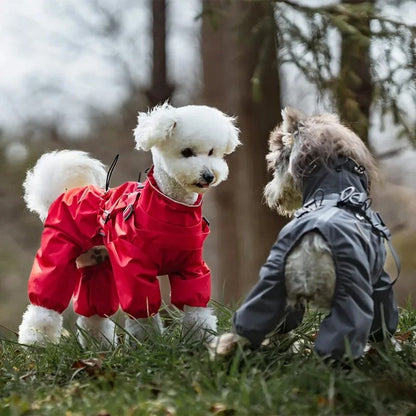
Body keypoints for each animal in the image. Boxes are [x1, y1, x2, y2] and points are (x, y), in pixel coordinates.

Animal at [18, 102, 240, 346]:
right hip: (57, 252)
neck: (171, 207)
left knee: (93, 312)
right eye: (187, 152)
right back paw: (36, 344)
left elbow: (196, 309)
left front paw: (201, 341)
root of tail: (61, 196)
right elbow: (142, 310)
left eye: (212, 152)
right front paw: (149, 343)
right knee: (43, 307)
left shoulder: (191, 266)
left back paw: (100, 345)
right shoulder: (134, 267)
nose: (209, 175)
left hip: (97, 263)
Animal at [211, 107, 400, 360]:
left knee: (251, 330)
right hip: (352, 298)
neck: (336, 188)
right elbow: (384, 321)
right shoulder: (380, 282)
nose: (269, 193)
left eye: (275, 165)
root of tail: (311, 249)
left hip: (271, 292)